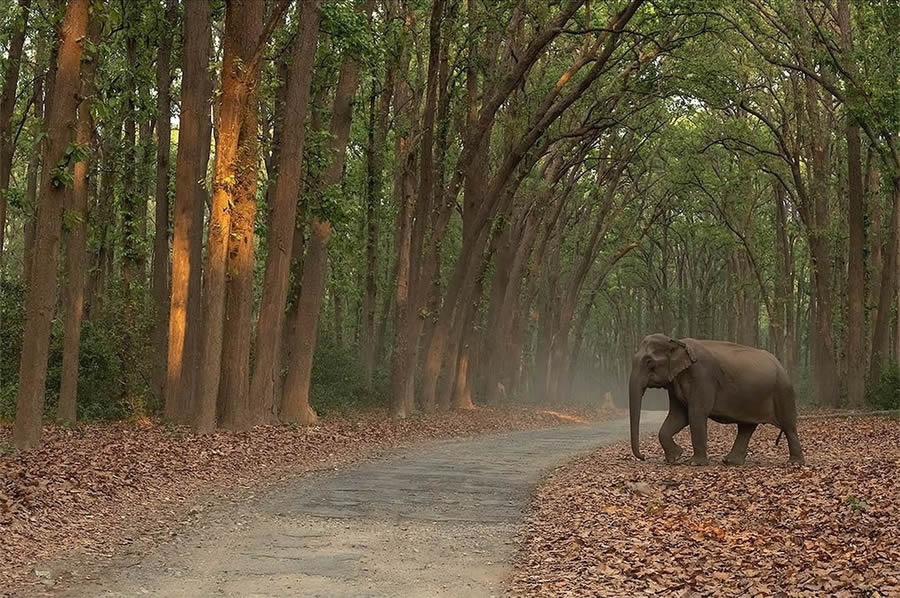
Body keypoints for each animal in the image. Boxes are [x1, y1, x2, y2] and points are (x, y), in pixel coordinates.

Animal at [628, 332, 804, 468]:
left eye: (649, 362)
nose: (643, 457)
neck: (677, 341)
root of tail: (780, 364)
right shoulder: (675, 382)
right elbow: (678, 416)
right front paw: (675, 457)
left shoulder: (702, 376)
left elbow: (696, 413)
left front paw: (694, 463)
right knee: (746, 427)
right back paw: (730, 461)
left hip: (783, 391)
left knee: (788, 426)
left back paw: (795, 463)